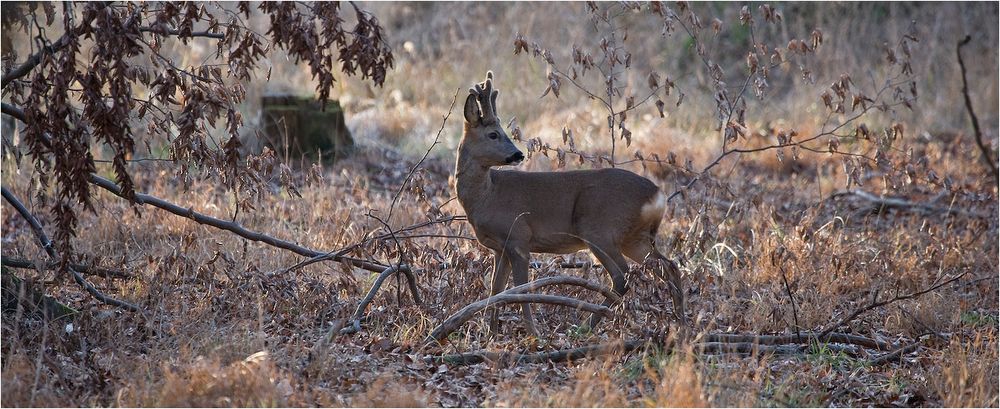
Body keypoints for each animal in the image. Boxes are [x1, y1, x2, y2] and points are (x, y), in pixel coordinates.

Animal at [456, 72, 684, 334]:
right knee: (669, 266)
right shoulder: (499, 247)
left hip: (598, 229)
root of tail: (658, 195)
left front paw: (532, 333)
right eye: (493, 134)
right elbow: (496, 289)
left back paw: (586, 326)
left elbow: (520, 289)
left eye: (500, 132)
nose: (518, 155)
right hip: (635, 238)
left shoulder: (518, 237)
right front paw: (492, 332)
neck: (486, 196)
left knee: (623, 276)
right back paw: (681, 322)